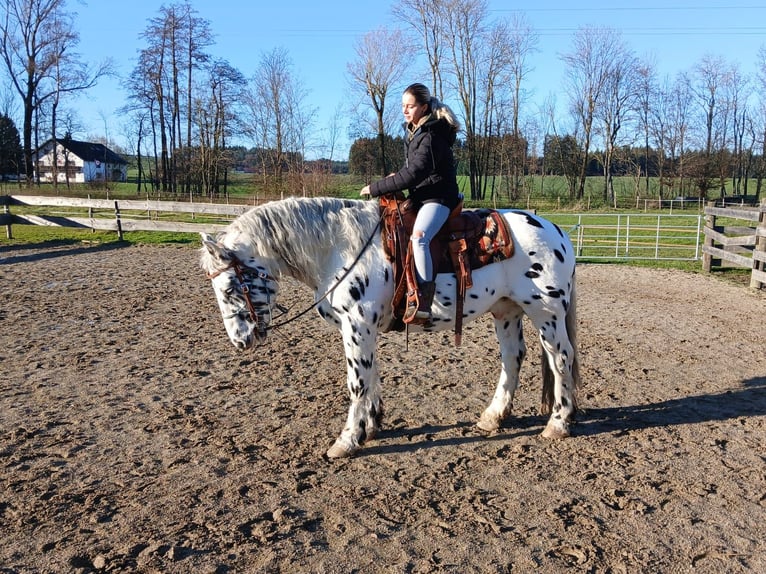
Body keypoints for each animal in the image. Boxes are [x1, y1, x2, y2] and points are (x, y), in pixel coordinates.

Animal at [200, 198, 584, 460]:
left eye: (230, 288)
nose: (240, 341)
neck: (339, 248)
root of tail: (558, 231)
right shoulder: (362, 329)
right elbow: (370, 376)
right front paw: (370, 427)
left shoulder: (357, 324)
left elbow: (356, 383)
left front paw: (346, 441)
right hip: (506, 311)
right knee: (512, 358)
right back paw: (493, 418)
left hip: (546, 312)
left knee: (561, 359)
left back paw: (558, 422)